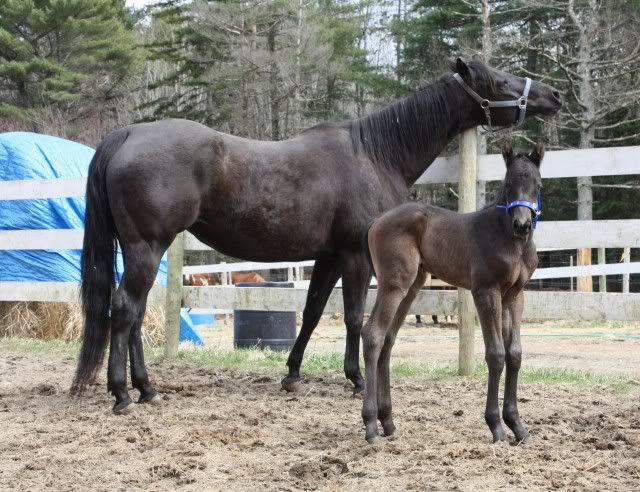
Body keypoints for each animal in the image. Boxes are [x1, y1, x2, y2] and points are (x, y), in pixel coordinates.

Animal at [360, 144, 544, 444]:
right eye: (508, 184)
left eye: (538, 185)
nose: (522, 224)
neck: (509, 240)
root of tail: (377, 220)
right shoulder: (485, 292)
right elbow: (496, 354)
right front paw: (496, 426)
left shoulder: (515, 296)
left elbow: (514, 354)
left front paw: (517, 425)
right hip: (394, 284)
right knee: (373, 334)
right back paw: (371, 427)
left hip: (413, 286)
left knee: (388, 338)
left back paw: (387, 421)